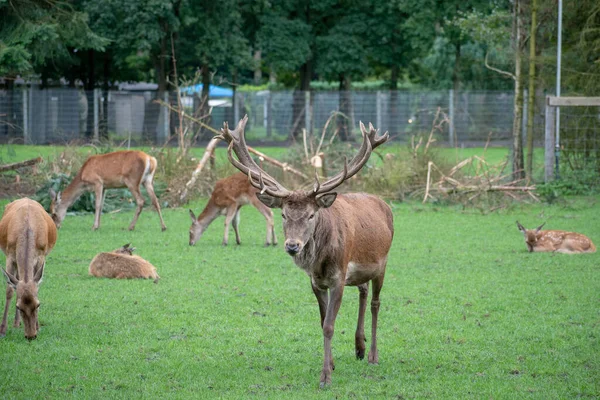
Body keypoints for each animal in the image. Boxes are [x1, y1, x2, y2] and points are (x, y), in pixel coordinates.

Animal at [0, 198, 57, 340]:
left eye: (38, 305)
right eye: (19, 307)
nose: (31, 336)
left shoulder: (41, 255)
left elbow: (37, 287)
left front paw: (38, 326)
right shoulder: (10, 255)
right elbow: (9, 290)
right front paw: (2, 330)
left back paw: (17, 323)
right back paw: (15, 323)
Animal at [218, 115, 396, 388]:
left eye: (312, 215)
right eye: (283, 214)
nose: (292, 245)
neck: (320, 263)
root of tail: (385, 205)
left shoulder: (338, 278)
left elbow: (330, 326)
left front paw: (325, 377)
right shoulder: (315, 282)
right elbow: (322, 322)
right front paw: (331, 364)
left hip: (383, 263)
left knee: (376, 303)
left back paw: (373, 356)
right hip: (360, 271)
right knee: (363, 292)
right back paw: (359, 347)